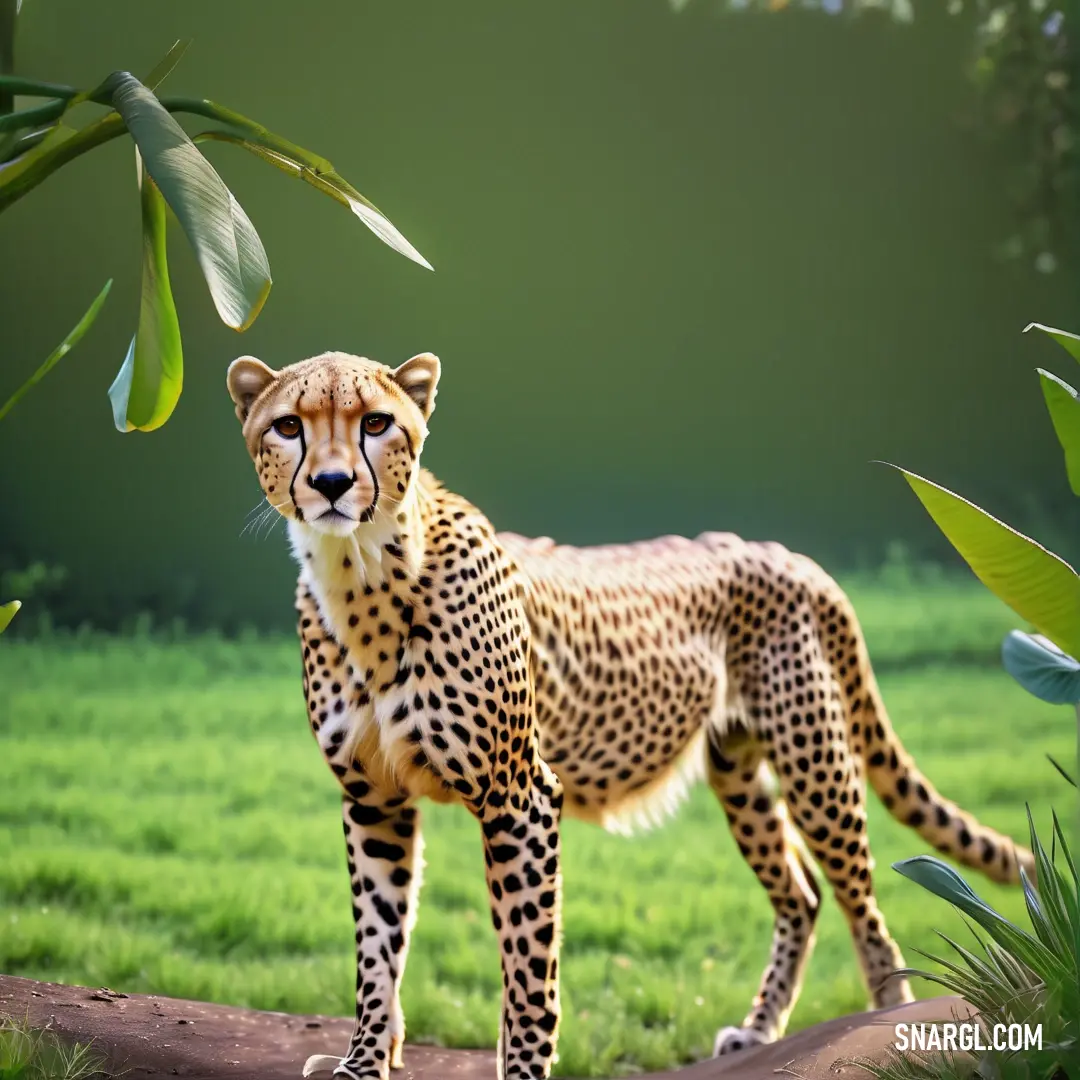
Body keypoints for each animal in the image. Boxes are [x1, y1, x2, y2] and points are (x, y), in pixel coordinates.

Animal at [225, 349, 1028, 1075]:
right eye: (290, 425)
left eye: (377, 422)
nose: (333, 484)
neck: (359, 572)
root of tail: (781, 551)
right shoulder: (375, 800)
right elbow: (377, 950)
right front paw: (365, 1061)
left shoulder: (520, 797)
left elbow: (528, 972)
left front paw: (522, 1068)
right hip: (738, 774)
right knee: (799, 894)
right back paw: (758, 1030)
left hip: (813, 765)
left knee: (862, 898)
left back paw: (885, 1018)